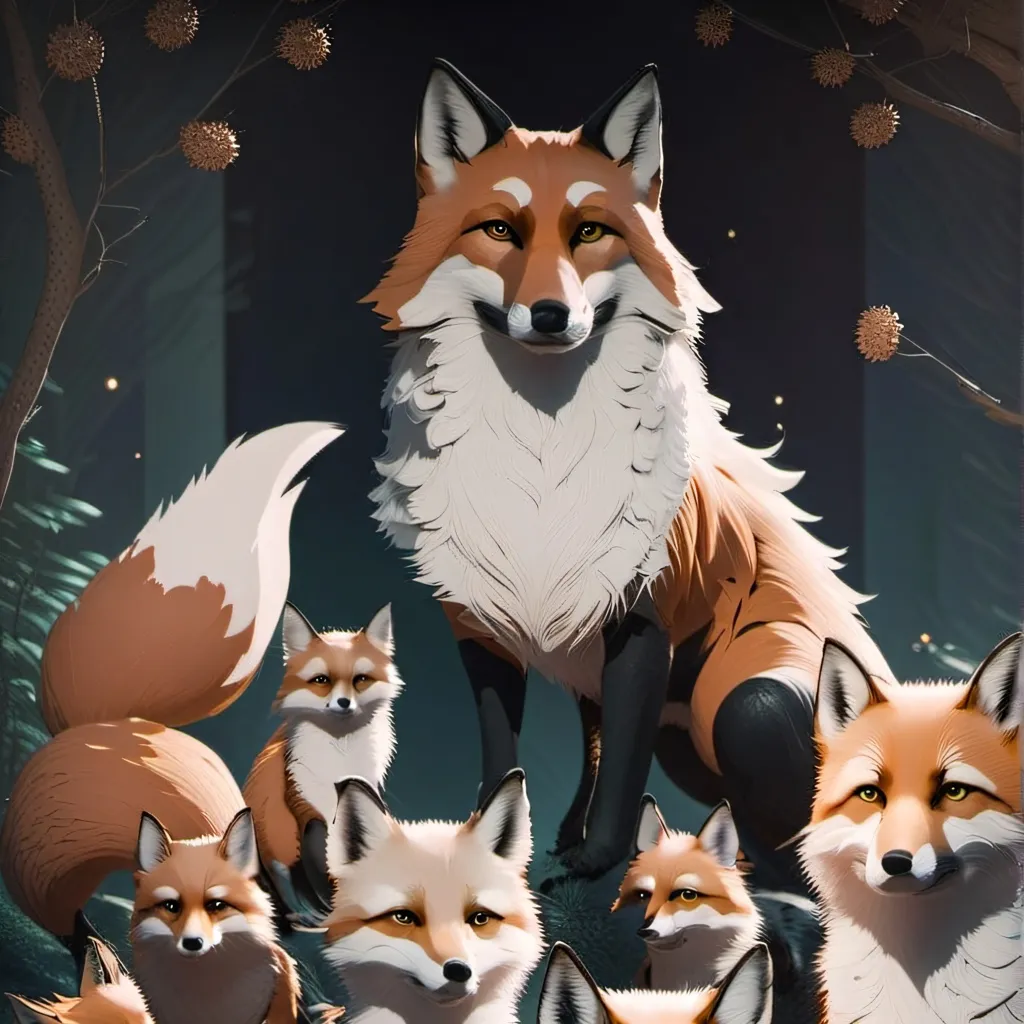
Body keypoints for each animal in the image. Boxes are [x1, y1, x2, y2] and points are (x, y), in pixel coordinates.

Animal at [244, 600, 402, 924]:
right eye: (322, 681)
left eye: (360, 680)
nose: (344, 703)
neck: (339, 760)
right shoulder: (304, 804)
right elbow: (320, 867)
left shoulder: (366, 789)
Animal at [365, 57, 895, 887]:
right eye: (499, 230)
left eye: (589, 231)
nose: (551, 316)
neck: (539, 464)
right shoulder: (485, 628)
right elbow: (525, 758)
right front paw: (512, 848)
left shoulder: (643, 624)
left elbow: (617, 770)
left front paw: (595, 861)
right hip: (686, 740)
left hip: (746, 710)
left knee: (805, 843)